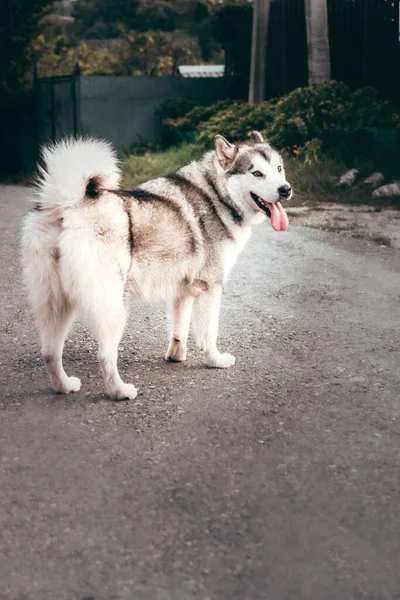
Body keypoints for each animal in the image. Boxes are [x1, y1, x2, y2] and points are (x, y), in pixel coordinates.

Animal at [21, 134, 290, 400]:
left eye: (278, 169)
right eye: (257, 173)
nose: (285, 189)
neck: (217, 194)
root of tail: (68, 205)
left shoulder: (184, 290)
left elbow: (180, 329)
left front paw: (176, 356)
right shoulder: (210, 288)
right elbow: (209, 333)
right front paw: (215, 360)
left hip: (58, 304)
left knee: (49, 351)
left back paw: (64, 386)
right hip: (113, 309)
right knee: (105, 356)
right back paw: (119, 391)